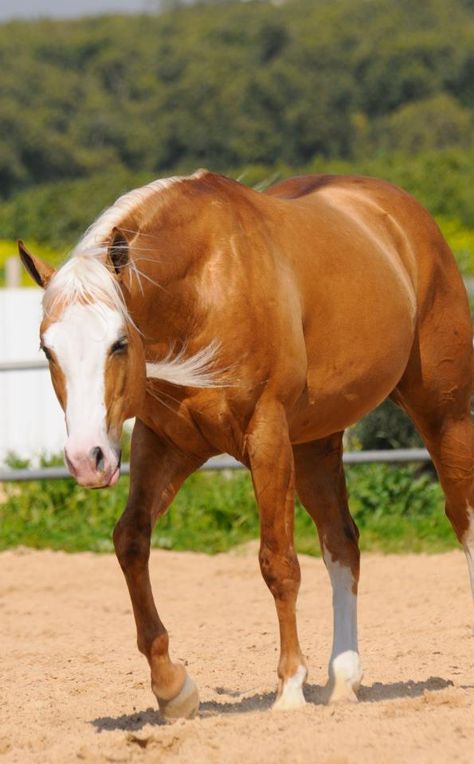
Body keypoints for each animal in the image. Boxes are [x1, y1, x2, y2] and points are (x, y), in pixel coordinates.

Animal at [19, 170, 474, 720]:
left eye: (119, 343)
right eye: (47, 349)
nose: (87, 459)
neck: (206, 289)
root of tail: (399, 210)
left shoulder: (267, 438)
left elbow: (278, 562)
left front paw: (290, 688)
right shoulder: (164, 444)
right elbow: (131, 541)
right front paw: (172, 688)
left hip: (444, 412)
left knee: (461, 514)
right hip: (316, 443)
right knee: (342, 541)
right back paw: (342, 680)